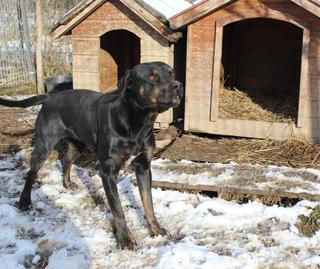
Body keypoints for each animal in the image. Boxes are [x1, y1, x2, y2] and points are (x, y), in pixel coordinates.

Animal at [0, 61, 184, 248]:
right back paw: (24, 201)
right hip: (44, 145)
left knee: (66, 160)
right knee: (31, 172)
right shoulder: (108, 173)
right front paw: (125, 239)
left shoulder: (143, 167)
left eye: (171, 73)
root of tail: (50, 97)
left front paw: (156, 229)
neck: (136, 121)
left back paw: (67, 183)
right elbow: (118, 210)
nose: (178, 85)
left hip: (78, 145)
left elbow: (148, 203)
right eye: (152, 77)